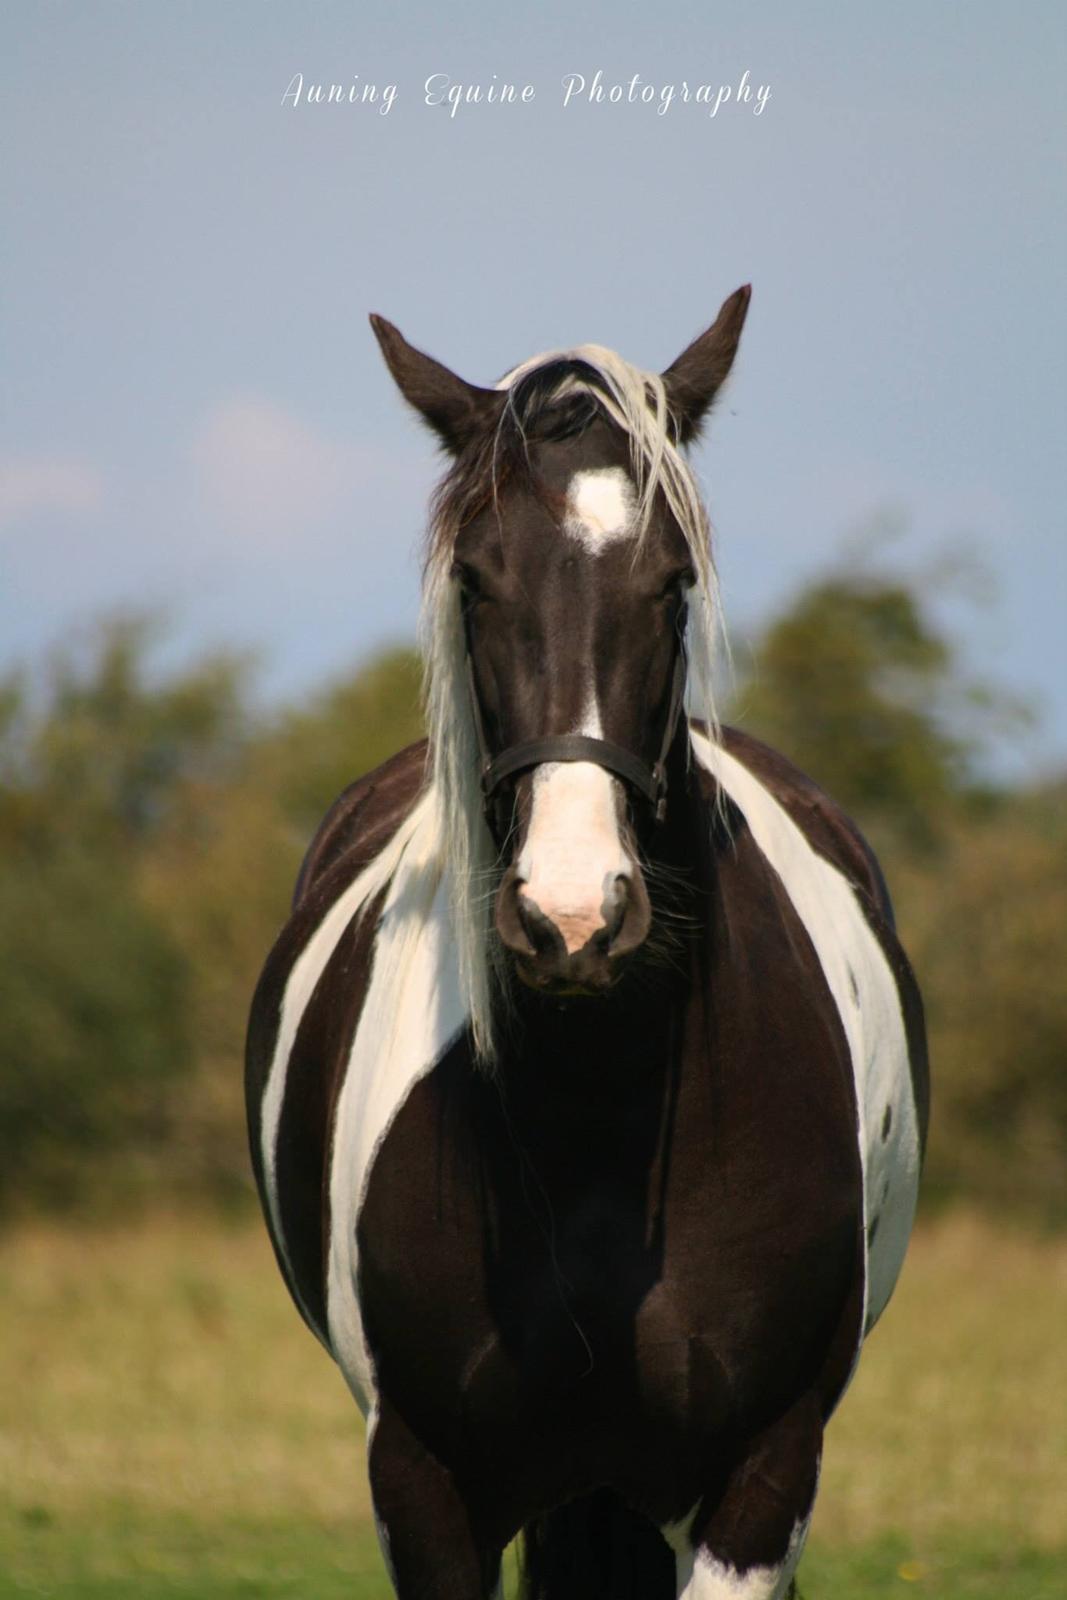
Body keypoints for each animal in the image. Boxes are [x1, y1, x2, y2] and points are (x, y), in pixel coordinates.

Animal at [247, 291, 927, 1600]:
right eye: (473, 582)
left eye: (671, 584)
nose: (572, 915)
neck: (597, 1110)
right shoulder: (422, 1484)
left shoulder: (762, 1475)